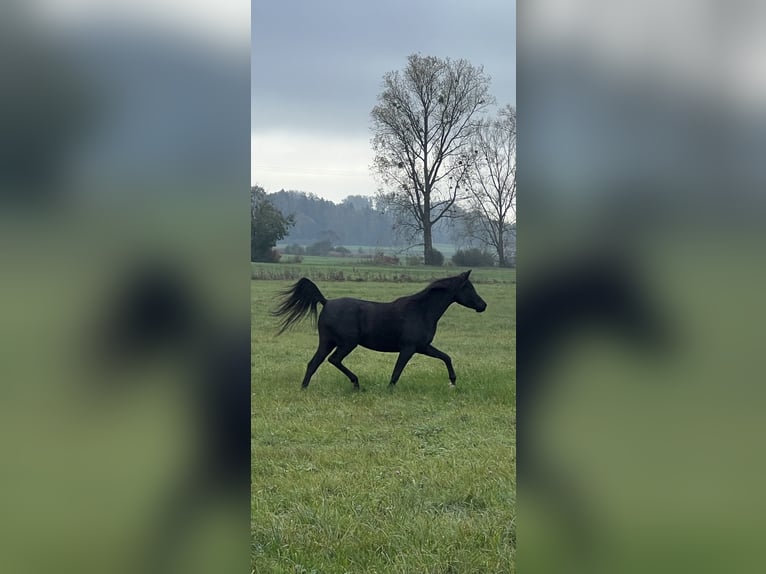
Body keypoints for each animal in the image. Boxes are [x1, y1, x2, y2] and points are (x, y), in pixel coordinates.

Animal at [272, 270, 487, 389]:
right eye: (469, 288)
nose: (483, 305)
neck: (421, 310)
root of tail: (326, 302)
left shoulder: (423, 347)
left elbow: (446, 357)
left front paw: (453, 380)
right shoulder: (409, 348)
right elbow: (397, 372)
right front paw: (389, 390)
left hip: (327, 342)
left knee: (313, 363)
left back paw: (304, 388)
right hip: (347, 343)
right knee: (334, 360)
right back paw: (356, 383)